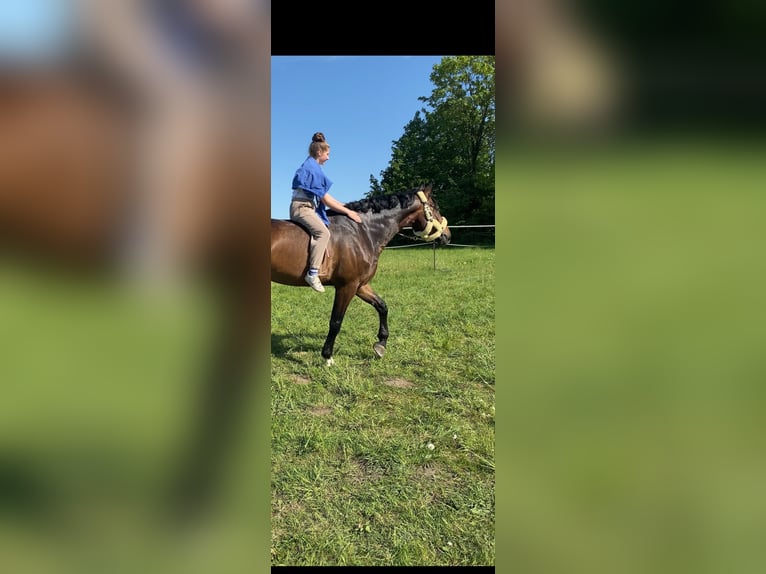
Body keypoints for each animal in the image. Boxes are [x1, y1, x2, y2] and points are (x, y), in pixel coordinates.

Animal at [270, 184, 451, 366]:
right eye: (435, 207)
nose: (447, 236)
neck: (362, 231)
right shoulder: (347, 286)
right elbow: (336, 322)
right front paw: (327, 356)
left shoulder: (360, 285)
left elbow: (382, 306)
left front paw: (381, 344)